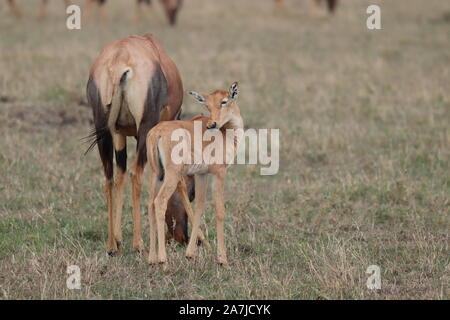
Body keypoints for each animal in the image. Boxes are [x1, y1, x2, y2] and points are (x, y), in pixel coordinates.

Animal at [85, 34, 204, 255]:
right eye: (192, 193)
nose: (180, 237)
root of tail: (120, 58)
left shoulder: (119, 132)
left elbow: (120, 175)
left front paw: (118, 238)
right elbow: (177, 181)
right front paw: (201, 238)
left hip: (102, 128)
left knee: (109, 178)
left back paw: (112, 246)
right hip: (146, 127)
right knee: (136, 173)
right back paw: (138, 244)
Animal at [147, 82, 243, 264]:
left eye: (224, 101)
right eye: (207, 105)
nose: (212, 124)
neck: (226, 133)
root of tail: (157, 133)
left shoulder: (201, 174)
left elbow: (199, 206)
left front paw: (190, 254)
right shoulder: (219, 173)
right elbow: (220, 210)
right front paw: (223, 260)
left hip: (156, 174)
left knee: (150, 203)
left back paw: (151, 258)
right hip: (171, 176)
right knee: (160, 201)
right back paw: (163, 260)